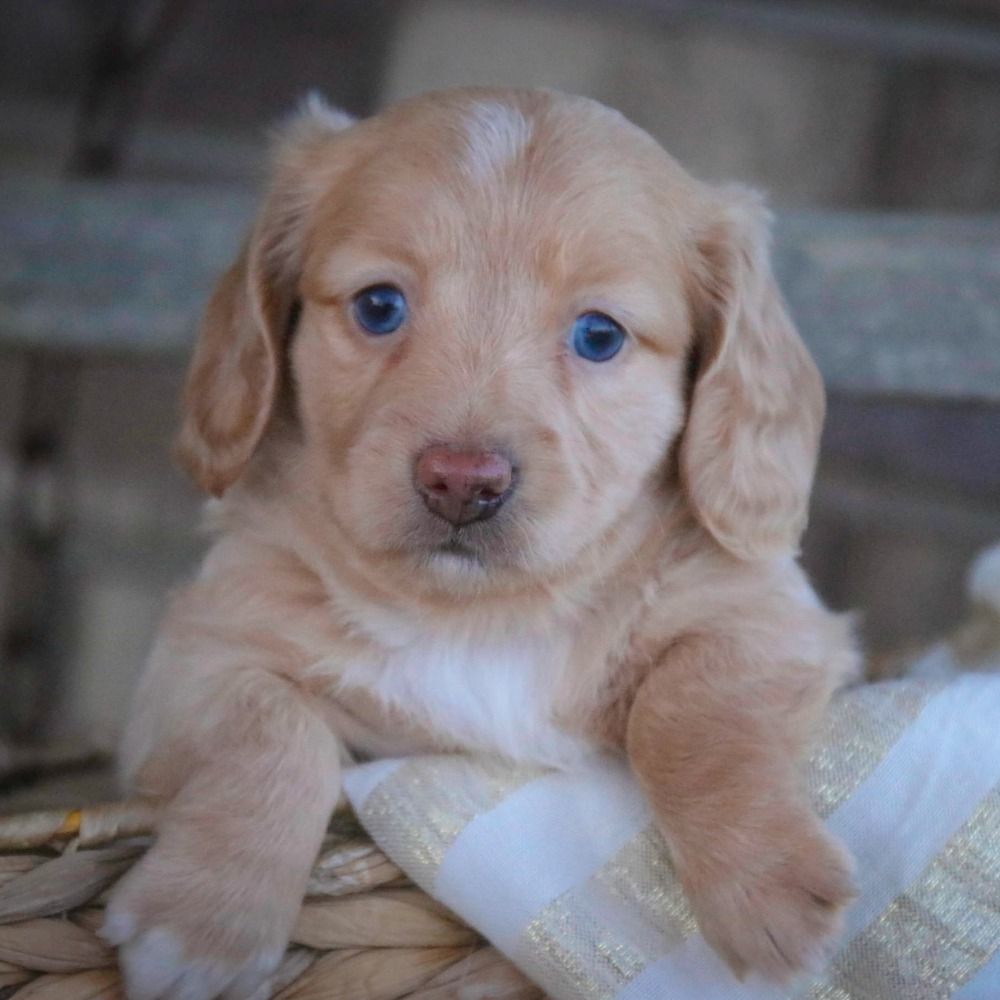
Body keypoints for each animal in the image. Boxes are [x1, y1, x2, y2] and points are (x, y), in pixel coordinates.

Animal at [107, 88, 860, 1000]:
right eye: (379, 307)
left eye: (600, 336)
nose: (462, 481)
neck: (480, 616)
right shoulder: (197, 653)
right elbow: (272, 731)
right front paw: (202, 925)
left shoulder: (771, 619)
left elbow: (690, 706)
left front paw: (768, 885)